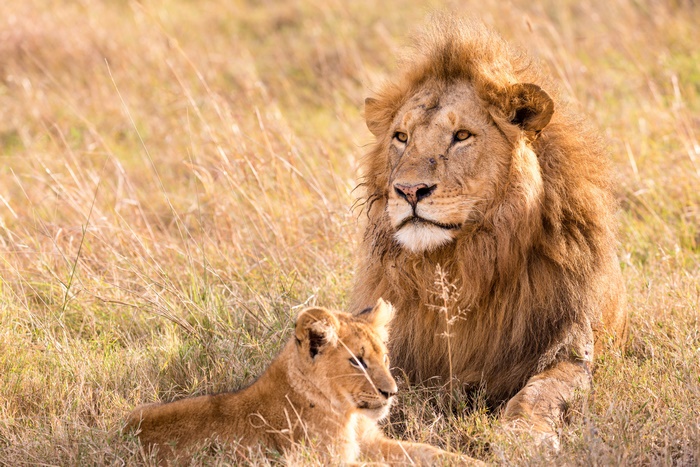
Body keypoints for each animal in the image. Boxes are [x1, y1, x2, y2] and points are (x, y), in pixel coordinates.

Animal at [126, 299, 476, 464]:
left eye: (385, 358)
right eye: (357, 362)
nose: (391, 393)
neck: (349, 415)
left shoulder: (372, 444)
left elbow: (431, 453)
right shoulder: (324, 460)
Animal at [350, 17, 628, 445]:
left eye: (462, 135)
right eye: (401, 137)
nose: (409, 190)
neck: (460, 265)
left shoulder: (569, 347)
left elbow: (540, 392)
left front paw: (523, 438)